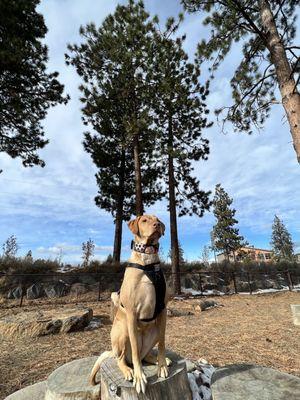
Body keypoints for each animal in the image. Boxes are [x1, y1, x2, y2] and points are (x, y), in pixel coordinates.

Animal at [89, 216, 171, 394]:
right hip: (123, 331)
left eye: (157, 220)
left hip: (154, 330)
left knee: (144, 355)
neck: (147, 262)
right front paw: (140, 377)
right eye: (145, 220)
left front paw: (161, 365)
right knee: (123, 358)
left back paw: (156, 359)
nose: (156, 225)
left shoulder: (162, 310)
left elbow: (162, 343)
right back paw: (128, 370)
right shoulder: (132, 314)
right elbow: (134, 351)